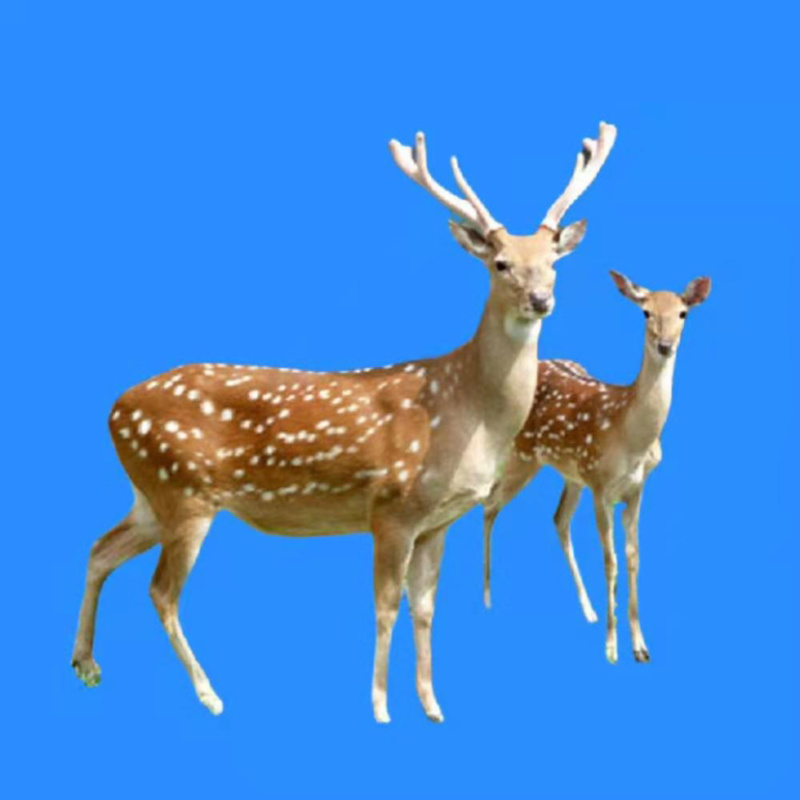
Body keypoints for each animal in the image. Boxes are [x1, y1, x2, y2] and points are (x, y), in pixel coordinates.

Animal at [71, 122, 617, 722]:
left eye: (553, 260)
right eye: (499, 264)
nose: (540, 299)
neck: (467, 410)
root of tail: (114, 407)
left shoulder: (440, 521)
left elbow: (426, 609)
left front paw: (433, 706)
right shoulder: (392, 506)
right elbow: (385, 607)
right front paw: (380, 707)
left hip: (153, 496)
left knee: (99, 549)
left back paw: (86, 665)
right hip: (185, 491)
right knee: (161, 591)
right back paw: (210, 694)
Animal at [481, 270, 712, 664]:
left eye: (683, 313)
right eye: (646, 312)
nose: (665, 345)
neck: (631, 436)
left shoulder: (635, 489)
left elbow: (633, 558)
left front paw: (640, 646)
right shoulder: (601, 486)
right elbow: (611, 560)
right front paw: (611, 648)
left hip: (570, 473)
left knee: (558, 519)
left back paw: (587, 610)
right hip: (523, 456)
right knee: (490, 504)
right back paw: (486, 599)